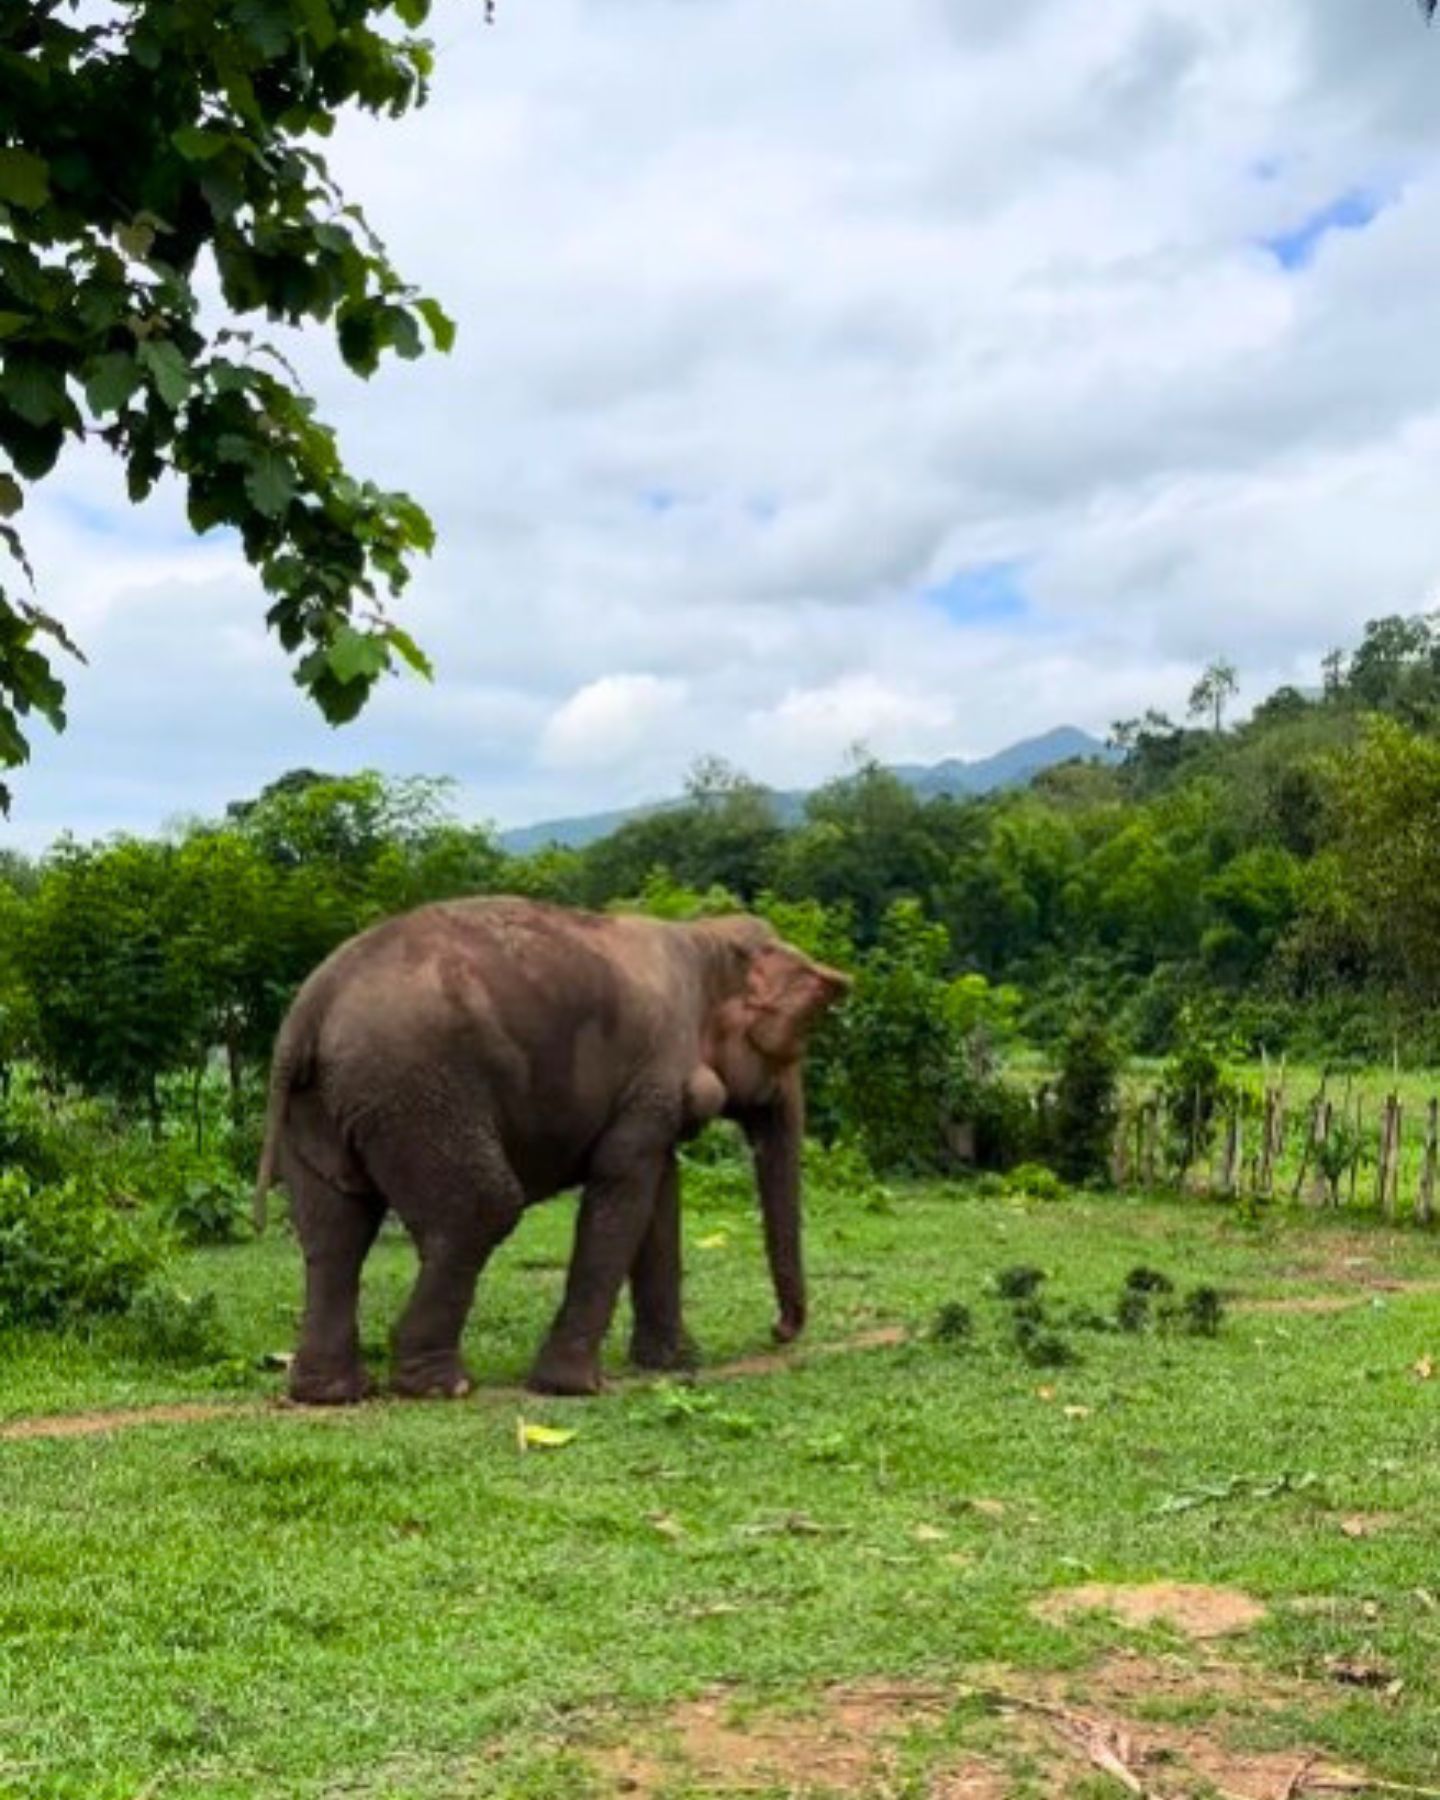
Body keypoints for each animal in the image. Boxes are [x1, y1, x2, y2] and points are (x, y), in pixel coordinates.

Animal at [253, 900, 849, 1404]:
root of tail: (310, 1011)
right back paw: (442, 1387)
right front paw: (574, 1388)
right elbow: (624, 1187)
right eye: (791, 1043)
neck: (703, 937)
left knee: (334, 1233)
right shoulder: (655, 1073)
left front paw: (676, 1364)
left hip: (325, 1107)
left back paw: (329, 1394)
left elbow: (659, 1195)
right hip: (415, 1094)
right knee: (482, 1210)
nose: (779, 1331)